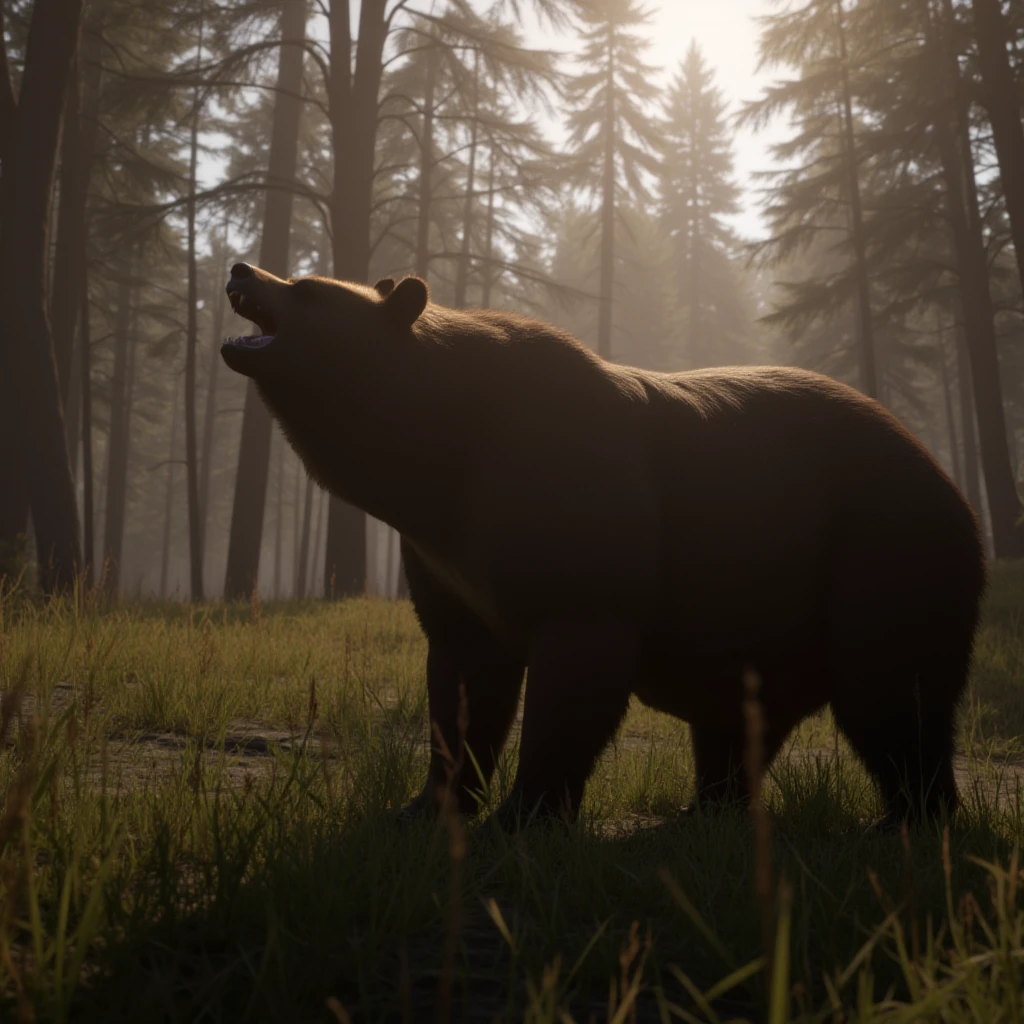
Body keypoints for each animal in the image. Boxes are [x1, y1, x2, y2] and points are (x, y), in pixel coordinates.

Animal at [221, 261, 987, 831]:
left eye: (306, 286)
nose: (241, 268)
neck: (442, 455)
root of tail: (945, 475)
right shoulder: (449, 561)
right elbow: (462, 684)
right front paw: (425, 804)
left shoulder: (573, 516)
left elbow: (574, 672)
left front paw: (524, 813)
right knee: (743, 716)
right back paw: (708, 807)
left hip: (877, 544)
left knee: (891, 687)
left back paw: (908, 817)